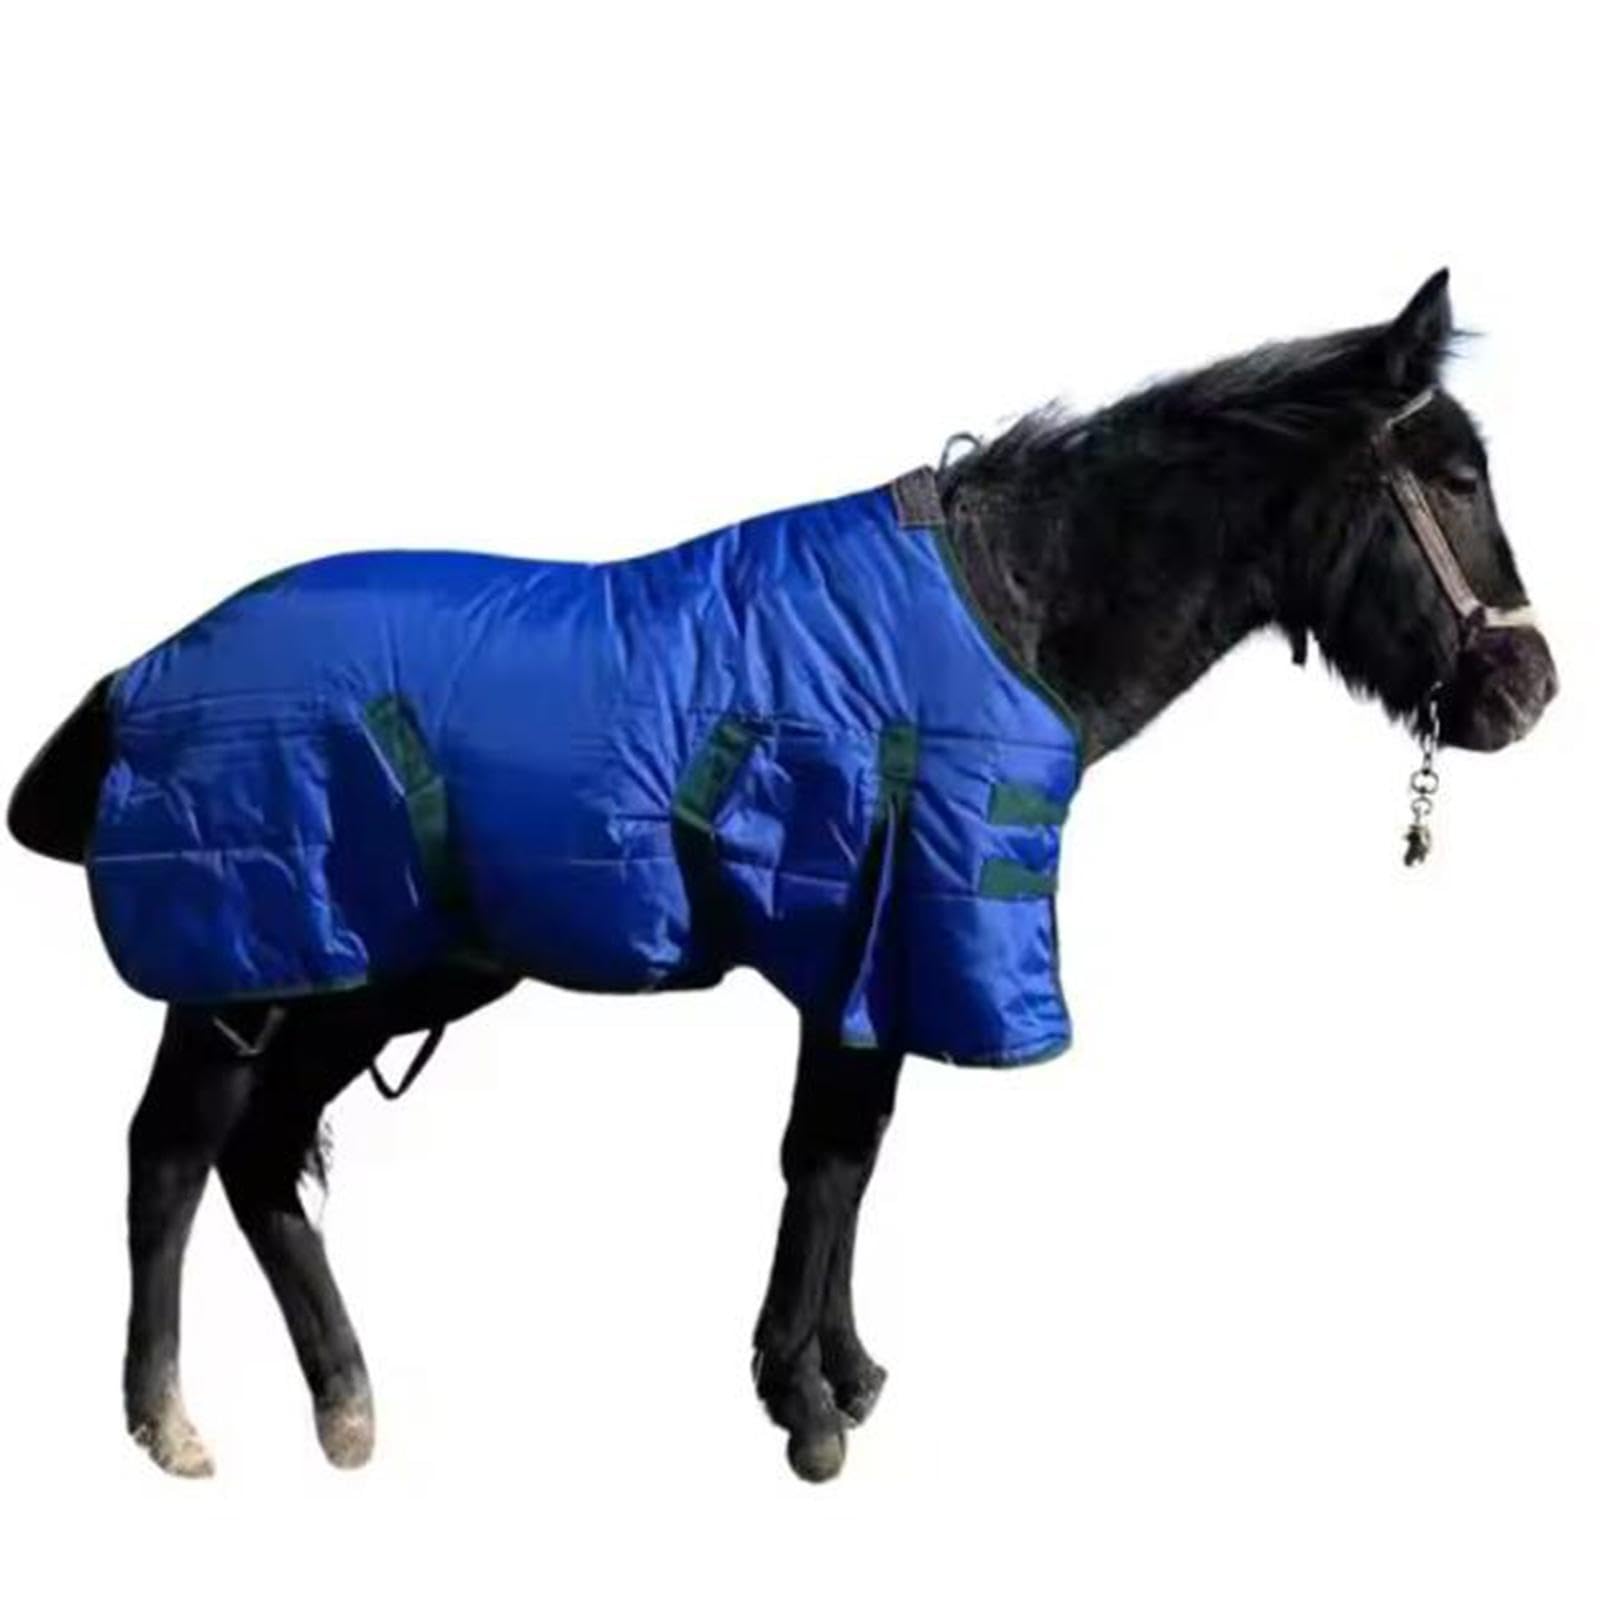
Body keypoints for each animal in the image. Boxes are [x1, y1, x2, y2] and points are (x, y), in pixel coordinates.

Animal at [6, 269, 1558, 1484]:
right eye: (1456, 477)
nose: (1527, 688)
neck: (1005, 610)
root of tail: (133, 676)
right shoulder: (869, 935)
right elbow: (822, 1159)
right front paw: (806, 1408)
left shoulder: (878, 956)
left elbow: (852, 1157)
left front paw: (838, 1371)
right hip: (245, 972)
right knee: (171, 1157)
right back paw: (167, 1422)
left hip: (363, 973)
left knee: (262, 1161)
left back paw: (345, 1405)